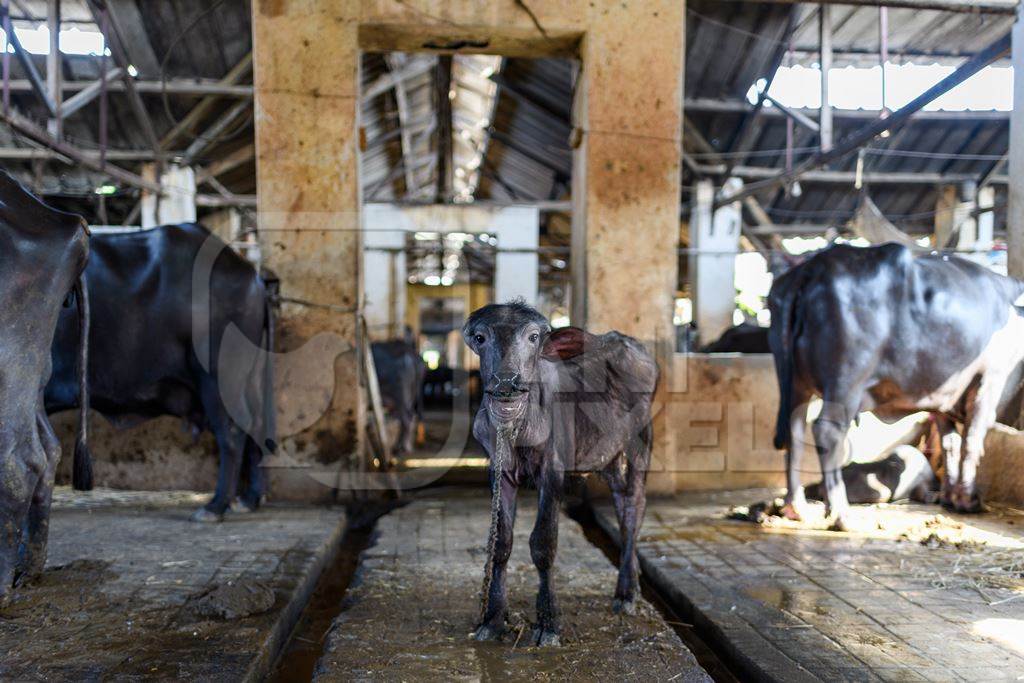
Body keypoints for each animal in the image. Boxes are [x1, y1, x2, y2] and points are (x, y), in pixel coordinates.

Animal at [464, 303, 655, 647]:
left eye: (533, 337)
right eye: (480, 337)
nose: (507, 384)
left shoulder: (553, 470)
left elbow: (543, 543)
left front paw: (548, 624)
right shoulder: (499, 470)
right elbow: (500, 543)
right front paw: (492, 620)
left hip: (640, 440)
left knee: (635, 505)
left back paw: (626, 594)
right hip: (607, 452)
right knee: (622, 503)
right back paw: (631, 581)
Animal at [770, 242, 1024, 532]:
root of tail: (813, 267)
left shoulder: (942, 396)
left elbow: (949, 443)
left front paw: (950, 496)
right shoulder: (989, 380)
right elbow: (970, 442)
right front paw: (967, 499)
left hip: (795, 384)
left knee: (794, 430)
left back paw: (795, 506)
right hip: (845, 383)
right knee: (827, 432)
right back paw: (841, 514)